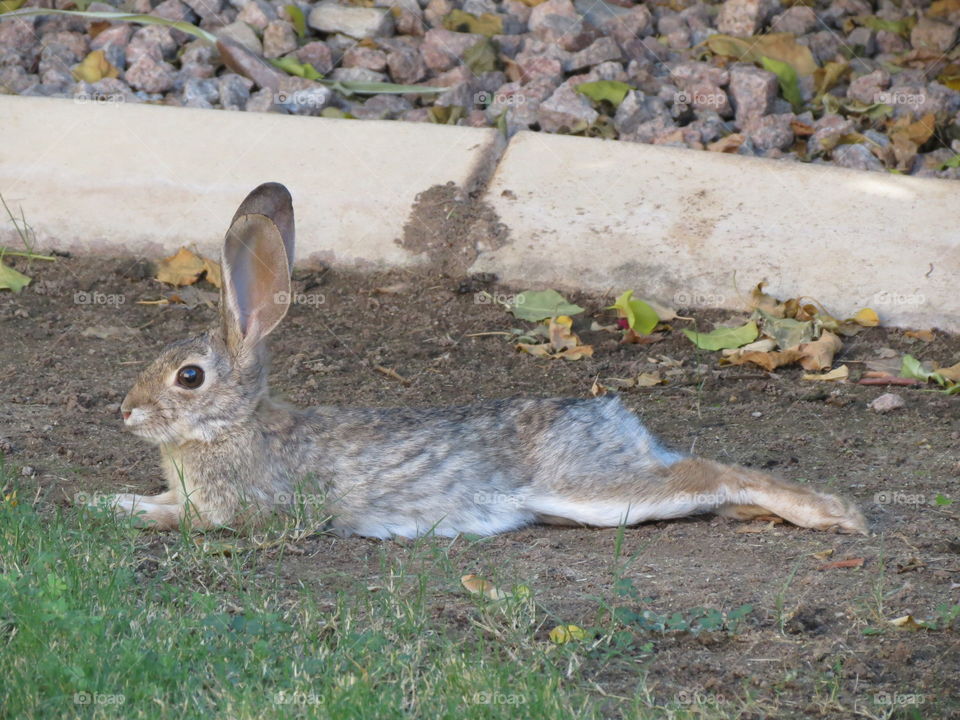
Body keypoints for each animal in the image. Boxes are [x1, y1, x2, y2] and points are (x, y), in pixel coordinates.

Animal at [92, 183, 872, 536]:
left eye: (189, 377)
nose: (125, 412)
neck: (235, 425)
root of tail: (612, 418)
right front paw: (105, 498)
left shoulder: (238, 511)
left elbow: (177, 518)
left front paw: (110, 508)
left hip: (586, 490)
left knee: (704, 474)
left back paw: (835, 516)